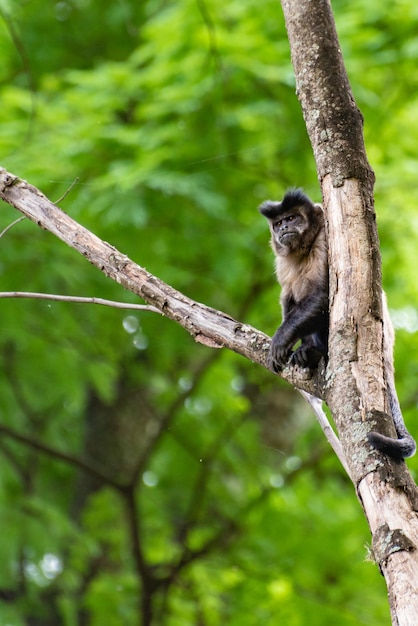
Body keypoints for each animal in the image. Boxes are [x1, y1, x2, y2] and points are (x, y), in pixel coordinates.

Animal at [260, 186, 416, 458]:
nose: (283, 228)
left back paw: (315, 350)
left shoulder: (324, 238)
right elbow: (288, 300)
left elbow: (324, 294)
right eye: (278, 223)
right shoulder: (281, 262)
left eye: (292, 218)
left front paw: (281, 341)